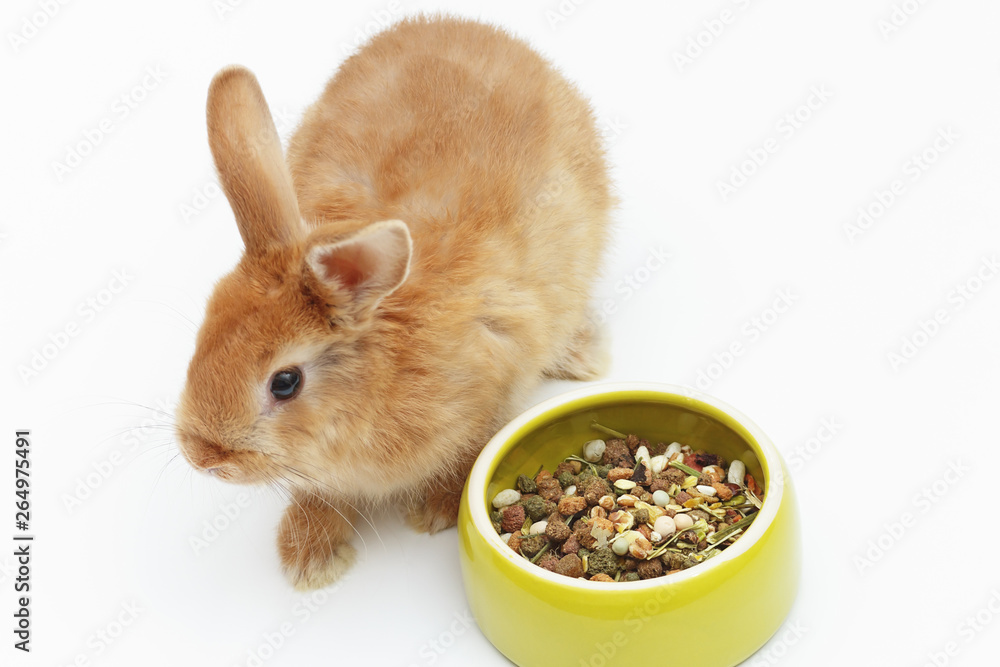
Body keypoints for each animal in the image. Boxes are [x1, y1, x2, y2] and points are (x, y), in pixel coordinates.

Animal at [176, 17, 612, 588]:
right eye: (202, 335)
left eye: (285, 382)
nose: (202, 457)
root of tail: (471, 25)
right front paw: (309, 560)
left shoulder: (491, 391)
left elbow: (467, 456)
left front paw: (435, 511)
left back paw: (586, 357)